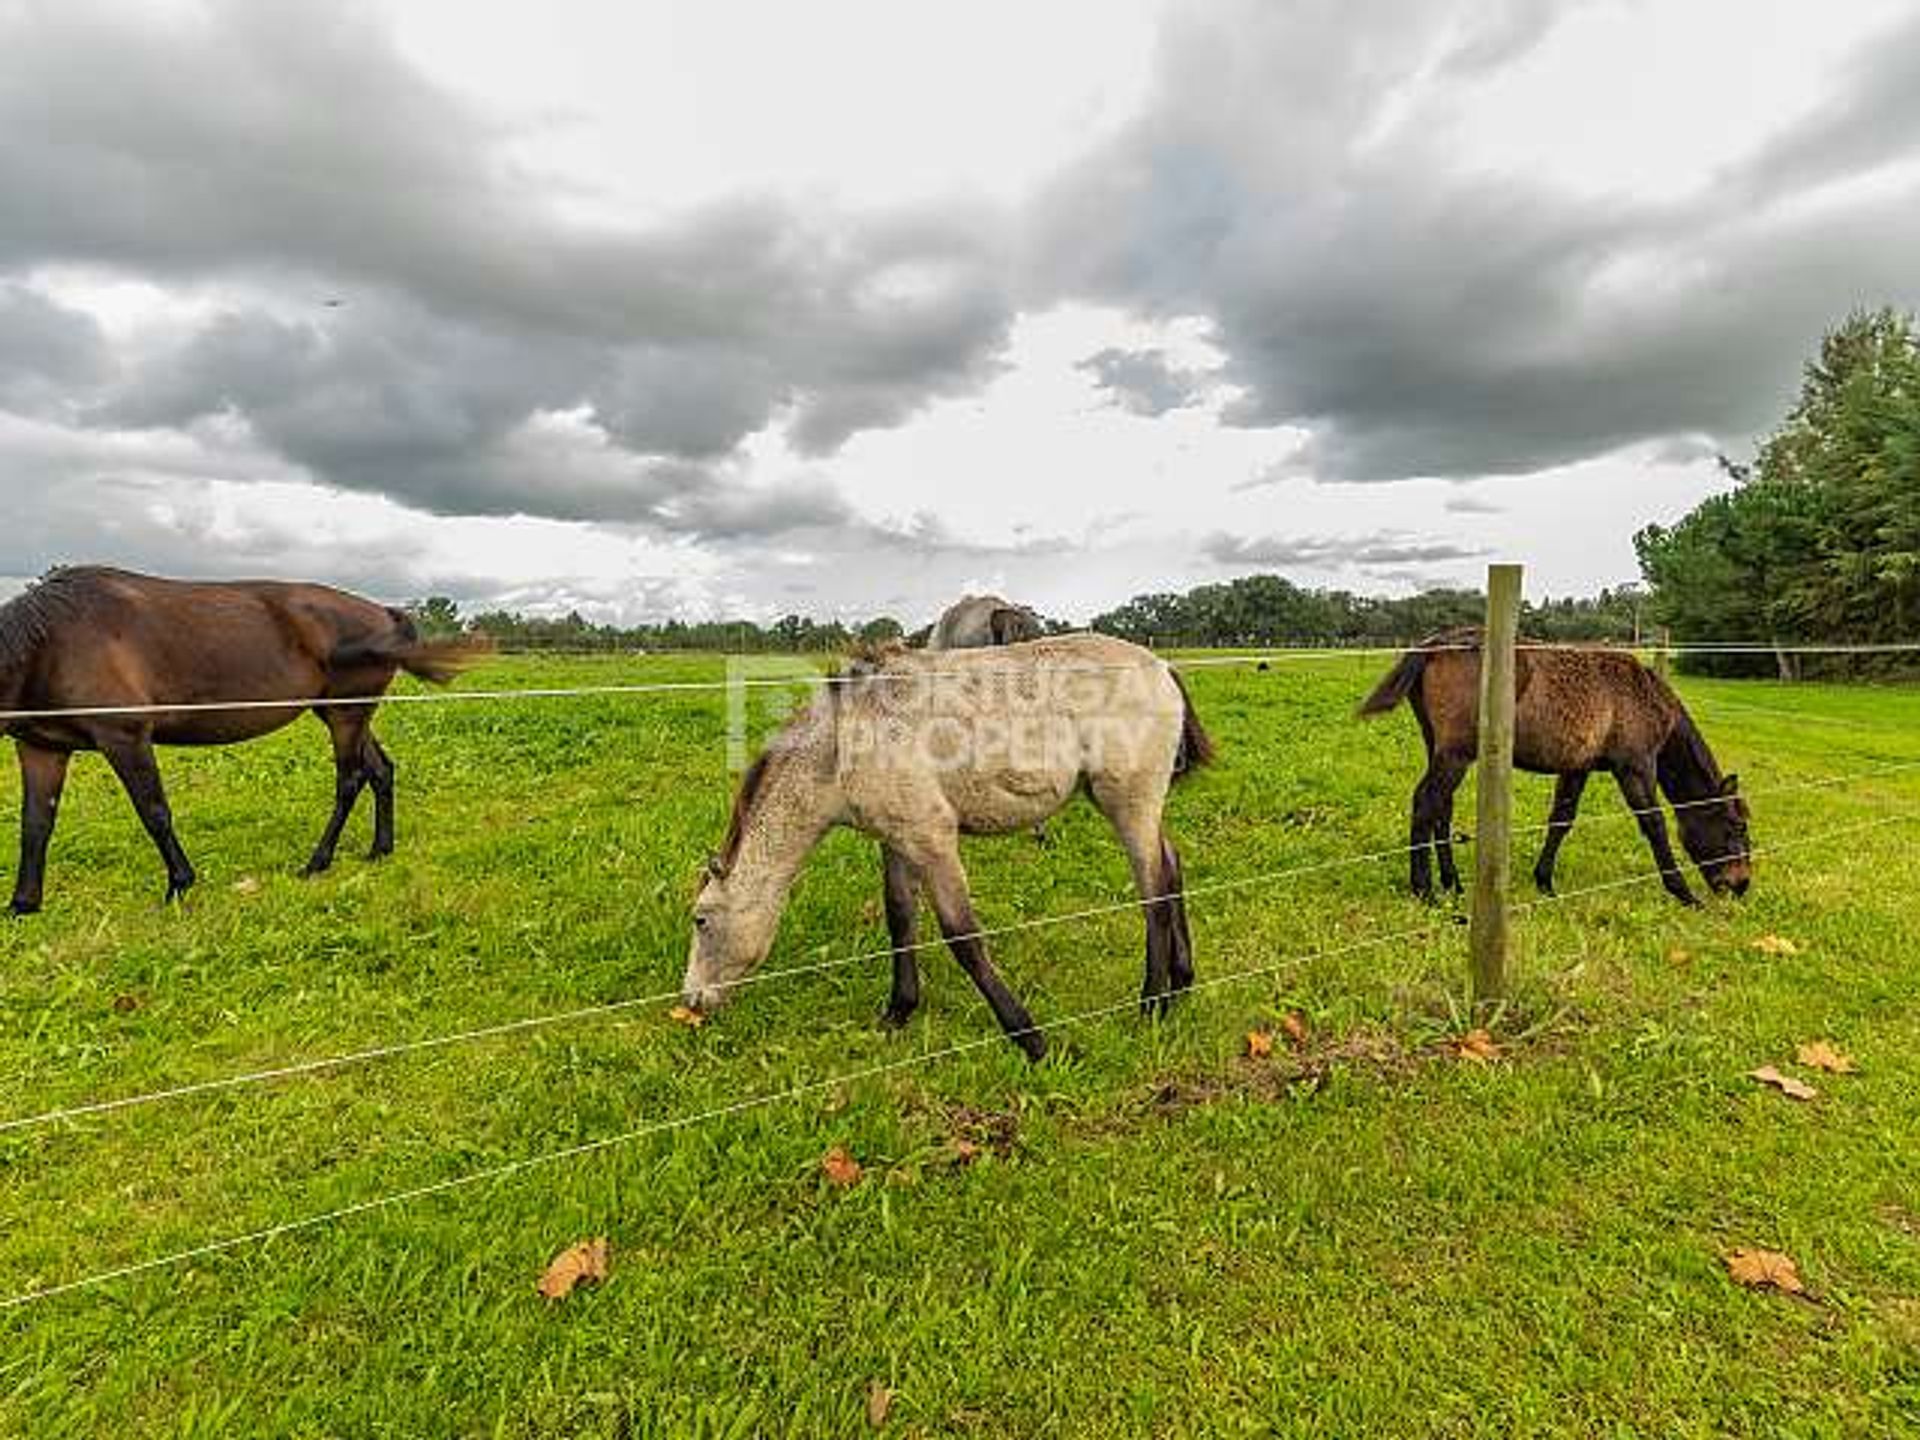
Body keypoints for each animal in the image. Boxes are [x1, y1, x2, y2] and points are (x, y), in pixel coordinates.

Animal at [0, 568, 480, 913]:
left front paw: (179, 885)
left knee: (350, 779)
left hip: (346, 714)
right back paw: (380, 850)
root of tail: (383, 613)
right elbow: (36, 823)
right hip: (343, 714)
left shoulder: (125, 737)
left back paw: (317, 863)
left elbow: (154, 813)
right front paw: (23, 904)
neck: (52, 642)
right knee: (380, 770)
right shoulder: (43, 748)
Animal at [683, 637, 1205, 1067]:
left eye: (701, 920)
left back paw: (1151, 1004)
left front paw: (1030, 1039)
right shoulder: (896, 840)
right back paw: (1181, 984)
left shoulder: (933, 841)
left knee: (1154, 890)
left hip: (1127, 802)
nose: (690, 1001)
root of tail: (1161, 666)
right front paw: (898, 1011)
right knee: (1172, 864)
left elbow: (963, 937)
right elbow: (900, 917)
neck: (845, 743)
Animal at [1359, 629, 1751, 906]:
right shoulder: (1635, 766)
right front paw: (1683, 892)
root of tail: (1435, 645)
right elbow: (1654, 824)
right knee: (1426, 802)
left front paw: (1545, 882)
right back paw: (1424, 890)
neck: (1644, 696)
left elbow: (1561, 820)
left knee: (1441, 808)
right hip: (1455, 753)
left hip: (1441, 749)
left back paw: (1452, 882)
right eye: (1735, 828)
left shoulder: (1577, 768)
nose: (1741, 884)